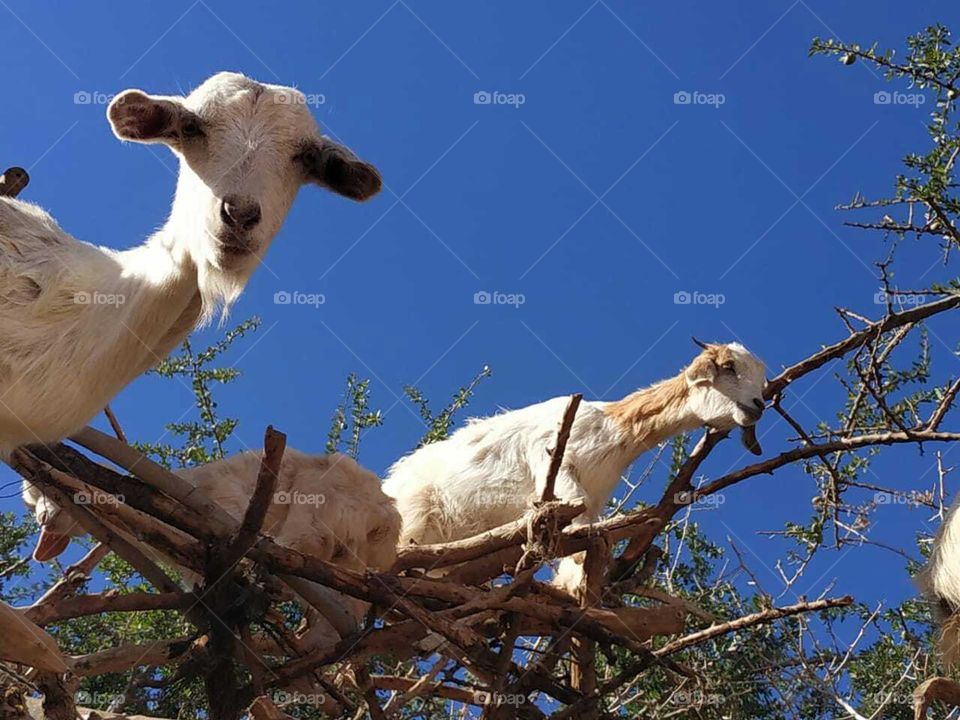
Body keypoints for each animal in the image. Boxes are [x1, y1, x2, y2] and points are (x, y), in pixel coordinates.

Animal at [382, 340, 764, 592]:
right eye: (728, 367)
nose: (758, 405)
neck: (612, 431)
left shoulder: (595, 499)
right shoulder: (554, 461)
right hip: (414, 519)